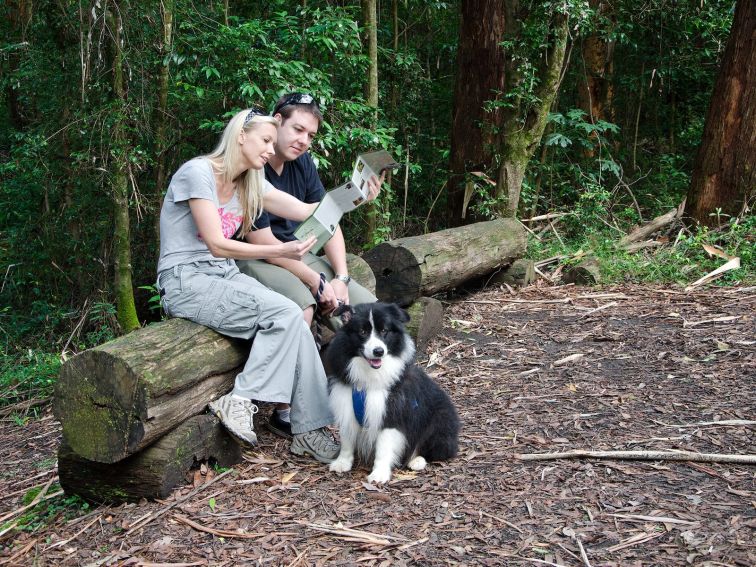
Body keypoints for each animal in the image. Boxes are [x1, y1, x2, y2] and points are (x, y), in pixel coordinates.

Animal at [326, 302, 460, 484]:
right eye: (362, 332)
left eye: (384, 331)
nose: (379, 351)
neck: (369, 379)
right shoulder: (347, 404)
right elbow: (347, 439)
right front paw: (342, 462)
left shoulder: (392, 412)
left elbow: (383, 447)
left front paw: (379, 474)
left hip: (440, 418)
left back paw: (416, 460)